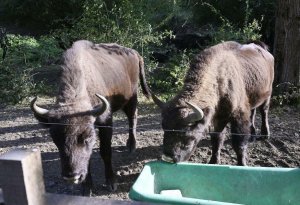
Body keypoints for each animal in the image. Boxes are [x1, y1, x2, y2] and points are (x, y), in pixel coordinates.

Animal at [30, 39, 150, 194]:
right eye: (55, 138)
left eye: (87, 137)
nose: (72, 176)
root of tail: (134, 53)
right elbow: (88, 158)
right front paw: (87, 188)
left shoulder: (105, 121)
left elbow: (105, 151)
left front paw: (111, 182)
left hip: (131, 98)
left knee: (132, 118)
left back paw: (132, 145)